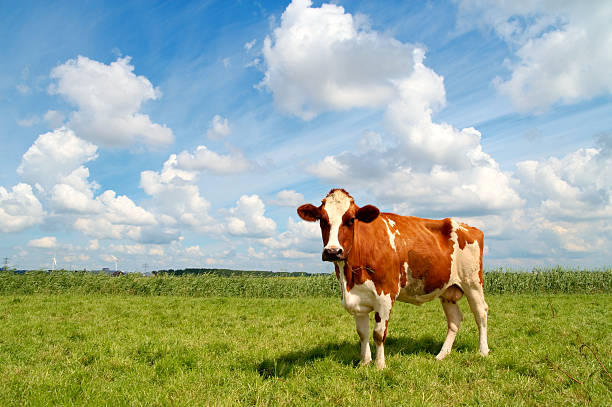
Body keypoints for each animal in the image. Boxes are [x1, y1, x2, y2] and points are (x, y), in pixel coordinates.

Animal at [298, 190, 490, 372]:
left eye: (351, 219)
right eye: (322, 219)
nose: (332, 251)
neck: (350, 278)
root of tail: (468, 227)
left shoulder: (385, 295)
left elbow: (378, 333)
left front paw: (380, 365)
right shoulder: (357, 298)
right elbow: (362, 333)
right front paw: (364, 363)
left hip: (472, 282)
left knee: (481, 312)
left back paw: (483, 351)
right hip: (447, 289)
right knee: (454, 320)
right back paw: (442, 354)